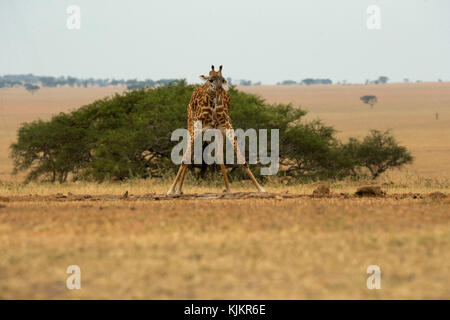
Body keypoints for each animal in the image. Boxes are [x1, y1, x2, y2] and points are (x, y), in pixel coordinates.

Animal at [167, 65, 266, 195]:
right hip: (191, 124)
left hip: (216, 131)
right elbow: (185, 157)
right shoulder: (198, 127)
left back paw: (228, 189)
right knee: (187, 154)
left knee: (218, 156)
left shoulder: (226, 125)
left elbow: (241, 159)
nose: (219, 90)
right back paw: (177, 189)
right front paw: (172, 190)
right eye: (211, 80)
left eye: (223, 80)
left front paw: (260, 188)